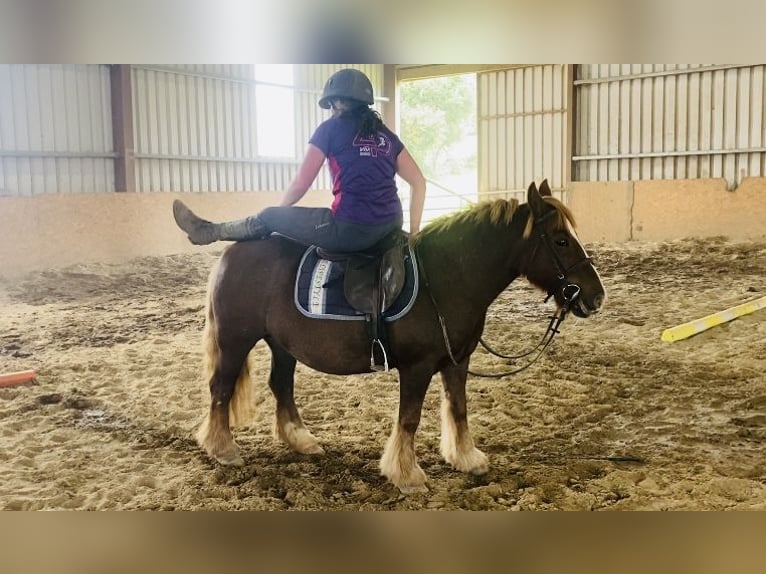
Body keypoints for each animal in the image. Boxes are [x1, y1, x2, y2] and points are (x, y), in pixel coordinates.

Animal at [195, 181, 608, 496]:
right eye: (560, 241)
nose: (595, 296)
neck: (445, 279)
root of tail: (230, 254)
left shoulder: (457, 362)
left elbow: (459, 410)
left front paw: (467, 459)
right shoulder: (417, 367)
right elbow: (408, 420)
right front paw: (407, 475)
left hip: (281, 345)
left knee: (280, 384)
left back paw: (300, 440)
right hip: (235, 340)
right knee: (220, 389)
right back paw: (223, 448)